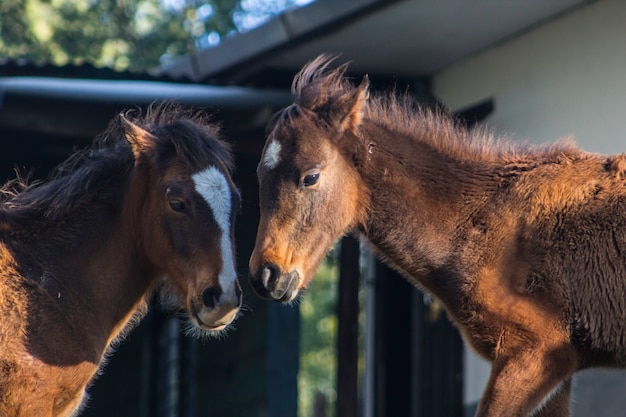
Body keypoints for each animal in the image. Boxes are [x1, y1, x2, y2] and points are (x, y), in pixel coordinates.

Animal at [247, 56, 626, 416]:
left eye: (310, 177)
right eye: (260, 178)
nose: (266, 275)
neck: (485, 221)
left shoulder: (536, 354)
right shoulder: (558, 368)